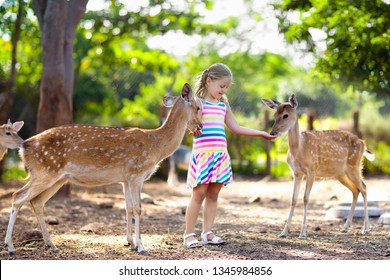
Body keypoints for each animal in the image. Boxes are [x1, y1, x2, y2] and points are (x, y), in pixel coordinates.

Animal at [4, 82, 203, 255]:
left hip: (57, 177)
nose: (200, 126)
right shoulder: (136, 174)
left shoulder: (125, 179)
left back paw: (51, 245)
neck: (156, 146)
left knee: (36, 202)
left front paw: (130, 242)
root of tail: (24, 147)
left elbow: (128, 208)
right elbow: (138, 208)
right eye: (198, 107)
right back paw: (11, 246)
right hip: (44, 172)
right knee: (17, 196)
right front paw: (141, 246)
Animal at [262, 95, 374, 237]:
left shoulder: (311, 170)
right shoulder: (297, 173)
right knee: (355, 190)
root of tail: (363, 144)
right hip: (340, 173)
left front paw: (303, 233)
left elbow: (305, 198)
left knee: (364, 188)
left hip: (353, 166)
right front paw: (284, 232)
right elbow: (293, 199)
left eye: (285, 115)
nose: (272, 133)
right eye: (275, 114)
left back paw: (366, 228)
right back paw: (345, 228)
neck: (299, 149)